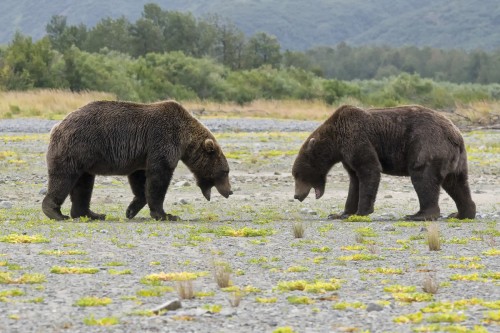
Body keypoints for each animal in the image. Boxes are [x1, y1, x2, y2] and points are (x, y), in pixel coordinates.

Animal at [42, 100, 233, 220]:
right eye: (225, 171)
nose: (230, 191)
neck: (185, 139)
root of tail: (57, 126)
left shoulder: (141, 154)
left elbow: (140, 179)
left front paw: (131, 210)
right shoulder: (163, 141)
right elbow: (158, 177)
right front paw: (166, 215)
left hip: (84, 157)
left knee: (83, 183)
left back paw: (92, 214)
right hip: (76, 147)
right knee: (64, 178)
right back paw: (56, 212)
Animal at [292, 104, 476, 220]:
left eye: (298, 175)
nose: (296, 195)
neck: (336, 141)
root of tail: (455, 134)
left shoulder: (356, 139)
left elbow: (369, 170)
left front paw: (361, 211)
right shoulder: (347, 155)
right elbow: (354, 180)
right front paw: (341, 213)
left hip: (426, 145)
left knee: (423, 177)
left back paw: (418, 215)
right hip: (455, 159)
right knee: (457, 183)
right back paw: (462, 214)